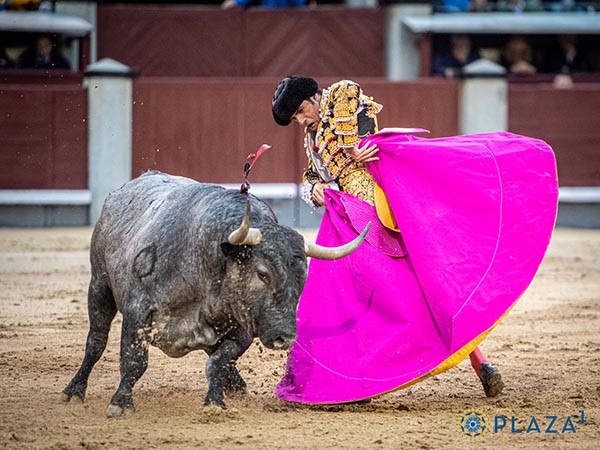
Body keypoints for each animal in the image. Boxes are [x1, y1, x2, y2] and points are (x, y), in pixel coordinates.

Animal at [58, 171, 368, 416]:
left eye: (303, 279)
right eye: (263, 273)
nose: (285, 338)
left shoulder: (242, 329)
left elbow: (217, 362)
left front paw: (215, 402)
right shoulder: (138, 313)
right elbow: (134, 360)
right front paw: (121, 403)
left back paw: (236, 386)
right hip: (99, 284)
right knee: (96, 342)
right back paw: (73, 391)